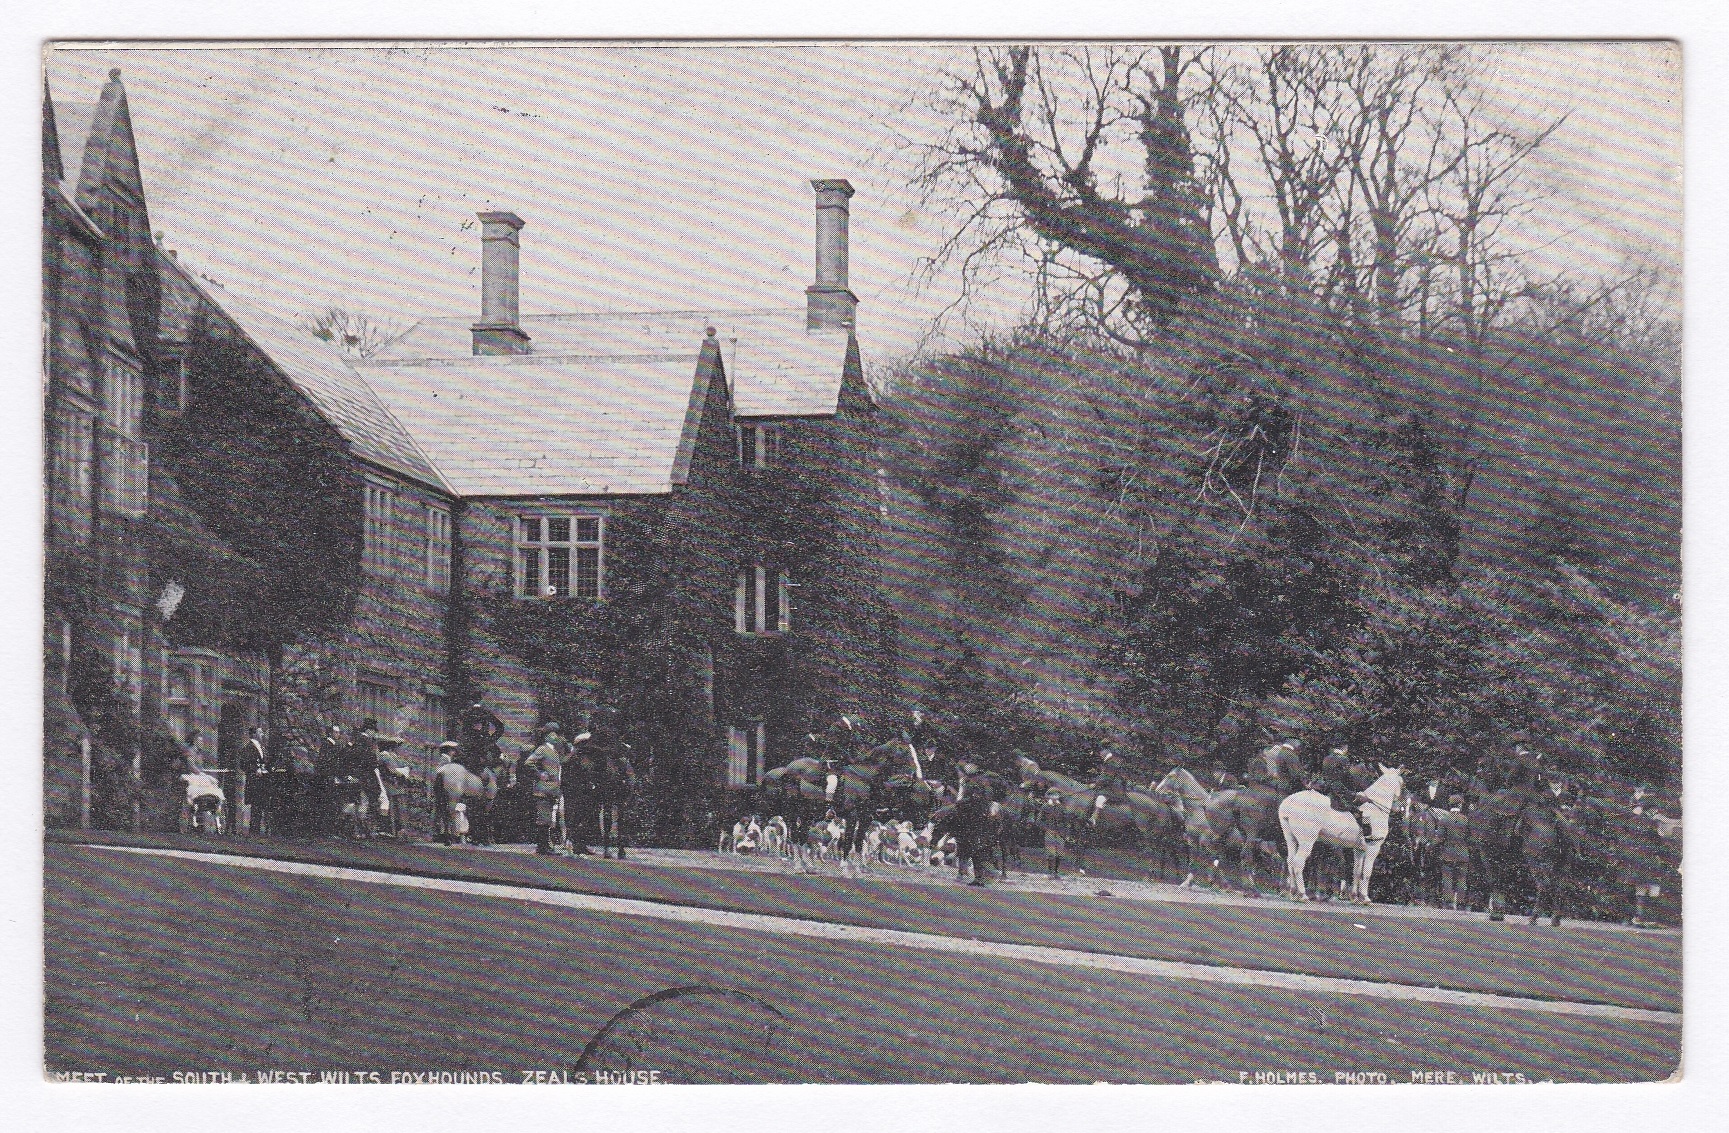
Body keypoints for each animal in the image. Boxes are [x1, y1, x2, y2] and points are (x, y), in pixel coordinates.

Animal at [1272, 761, 1403, 906]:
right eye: (1401, 782)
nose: (1400, 808)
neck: (1374, 807)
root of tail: (1288, 804)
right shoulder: (1373, 847)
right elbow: (1367, 872)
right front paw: (1365, 898)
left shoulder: (1359, 849)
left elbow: (1357, 871)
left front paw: (1355, 897)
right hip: (1307, 841)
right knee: (1298, 863)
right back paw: (1302, 894)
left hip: (1291, 839)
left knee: (1290, 861)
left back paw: (1293, 893)